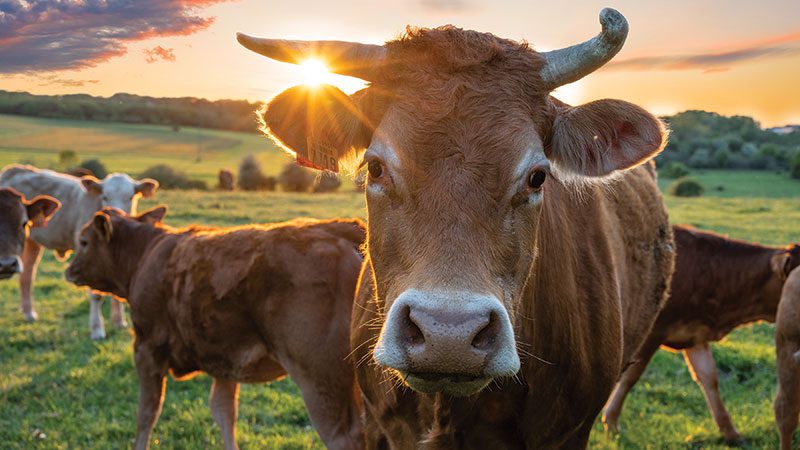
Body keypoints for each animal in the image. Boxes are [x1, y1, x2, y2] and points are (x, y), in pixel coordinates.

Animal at [0, 164, 158, 338]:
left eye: (131, 197)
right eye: (105, 197)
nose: (116, 215)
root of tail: (16, 168)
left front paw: (118, 322)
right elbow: (96, 295)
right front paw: (97, 329)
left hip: (32, 242)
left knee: (27, 275)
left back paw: (28, 312)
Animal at [65, 208, 366, 450]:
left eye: (83, 241)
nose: (69, 268)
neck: (145, 254)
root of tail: (340, 229)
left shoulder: (147, 349)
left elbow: (146, 413)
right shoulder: (225, 359)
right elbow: (224, 411)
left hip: (321, 382)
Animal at [604, 223, 800, 442]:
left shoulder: (694, 334)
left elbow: (709, 378)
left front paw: (730, 432)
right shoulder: (652, 333)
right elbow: (630, 377)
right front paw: (611, 421)